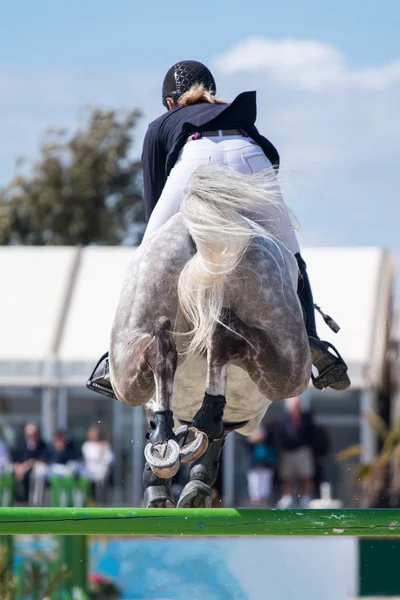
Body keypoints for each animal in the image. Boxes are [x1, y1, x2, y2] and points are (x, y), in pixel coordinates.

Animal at [108, 163, 310, 506]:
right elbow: (213, 441)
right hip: (289, 366)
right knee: (223, 349)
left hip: (127, 363)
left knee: (169, 353)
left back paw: (164, 438)